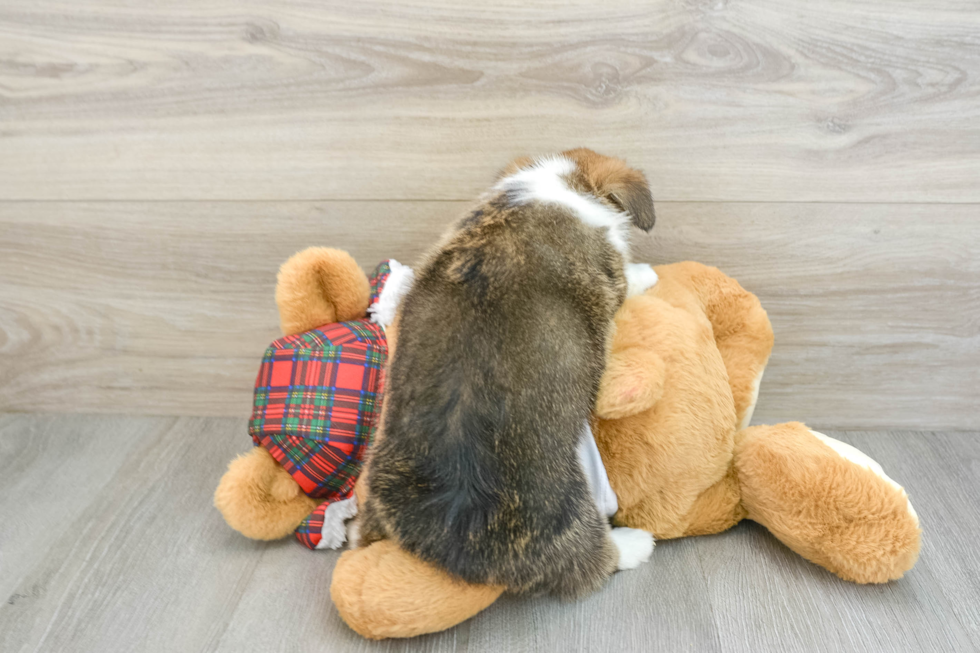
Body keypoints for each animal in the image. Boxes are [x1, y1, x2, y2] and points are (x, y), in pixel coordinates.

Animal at [356, 148, 656, 596]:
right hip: (567, 515)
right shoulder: (613, 275)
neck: (558, 186)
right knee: (591, 560)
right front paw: (647, 273)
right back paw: (634, 544)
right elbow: (628, 279)